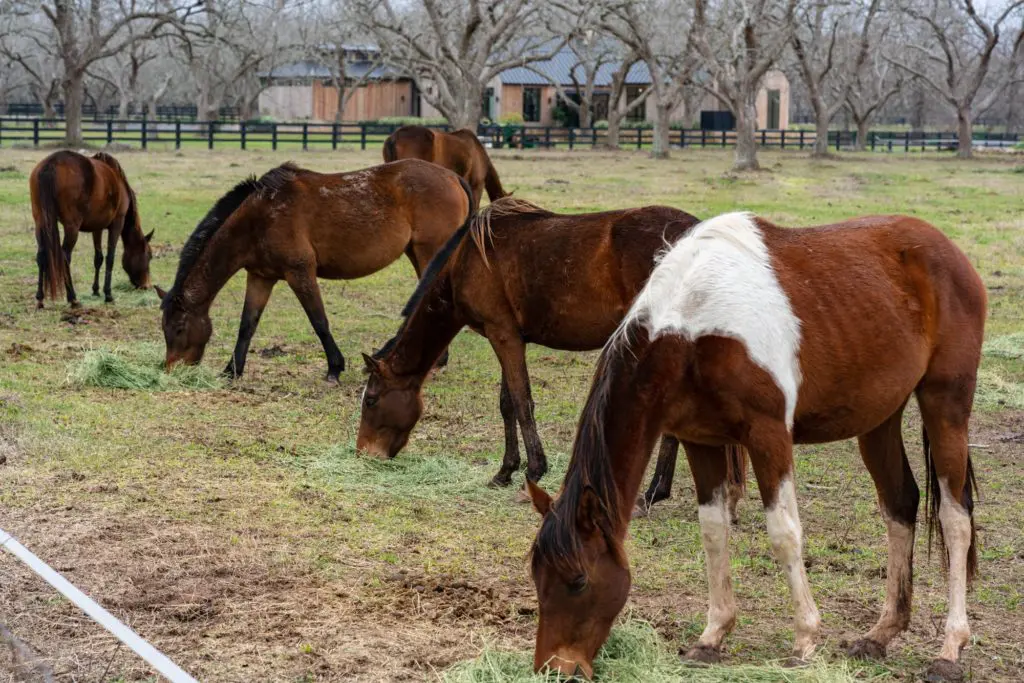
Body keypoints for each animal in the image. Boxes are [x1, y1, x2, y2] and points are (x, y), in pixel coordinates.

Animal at [30, 150, 153, 308]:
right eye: (149, 256)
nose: (146, 285)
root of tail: (51, 163)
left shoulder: (97, 227)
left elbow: (98, 258)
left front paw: (96, 290)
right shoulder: (117, 223)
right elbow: (110, 258)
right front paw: (108, 294)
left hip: (40, 222)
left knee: (41, 256)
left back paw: (40, 299)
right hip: (72, 227)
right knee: (65, 256)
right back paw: (73, 298)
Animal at [155, 159, 473, 382]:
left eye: (179, 328)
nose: (171, 369)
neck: (258, 217)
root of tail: (452, 176)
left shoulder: (299, 273)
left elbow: (319, 321)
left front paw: (334, 368)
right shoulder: (260, 277)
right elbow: (247, 325)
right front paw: (231, 370)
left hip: (429, 252)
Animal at [356, 197, 746, 515]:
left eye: (371, 400)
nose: (364, 454)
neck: (467, 260)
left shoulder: (503, 336)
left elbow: (521, 401)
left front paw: (533, 470)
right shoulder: (509, 337)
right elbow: (507, 404)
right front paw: (505, 471)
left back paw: (650, 494)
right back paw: (657, 492)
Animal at [526, 212, 985, 682]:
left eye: (579, 580)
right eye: (537, 578)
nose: (554, 669)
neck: (692, 328)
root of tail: (946, 249)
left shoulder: (769, 437)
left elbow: (784, 534)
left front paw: (805, 639)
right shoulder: (701, 442)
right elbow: (713, 532)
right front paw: (712, 636)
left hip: (945, 405)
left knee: (955, 518)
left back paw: (950, 647)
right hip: (879, 421)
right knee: (900, 505)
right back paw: (880, 634)